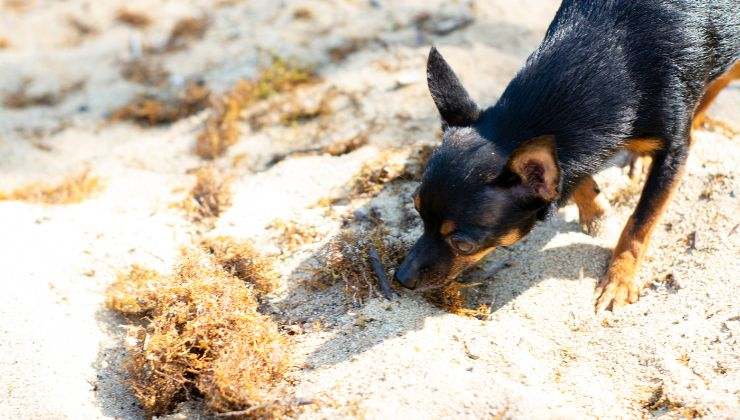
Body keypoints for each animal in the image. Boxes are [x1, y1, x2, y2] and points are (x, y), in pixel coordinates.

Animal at [396, 0, 736, 312]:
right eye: (417, 211)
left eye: (463, 244)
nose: (401, 278)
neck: (613, 52)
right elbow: (571, 176)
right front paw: (596, 213)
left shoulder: (673, 154)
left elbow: (641, 222)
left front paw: (619, 279)